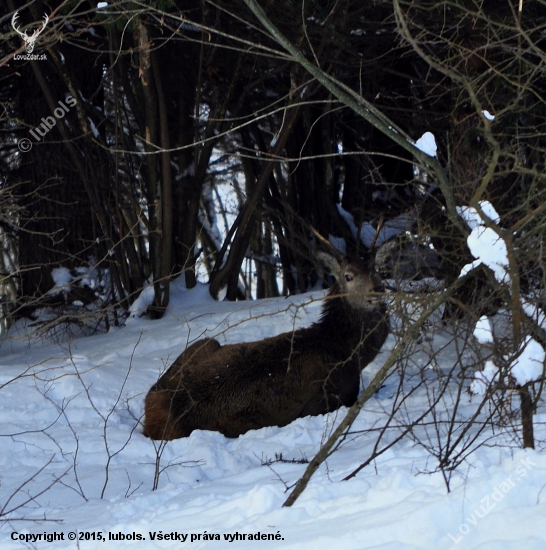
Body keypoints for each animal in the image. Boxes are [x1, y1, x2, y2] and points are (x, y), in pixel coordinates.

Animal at [142, 249, 388, 440]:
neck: (348, 350)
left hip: (204, 343)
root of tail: (153, 416)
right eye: (348, 276)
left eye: (377, 270)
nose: (377, 291)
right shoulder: (331, 398)